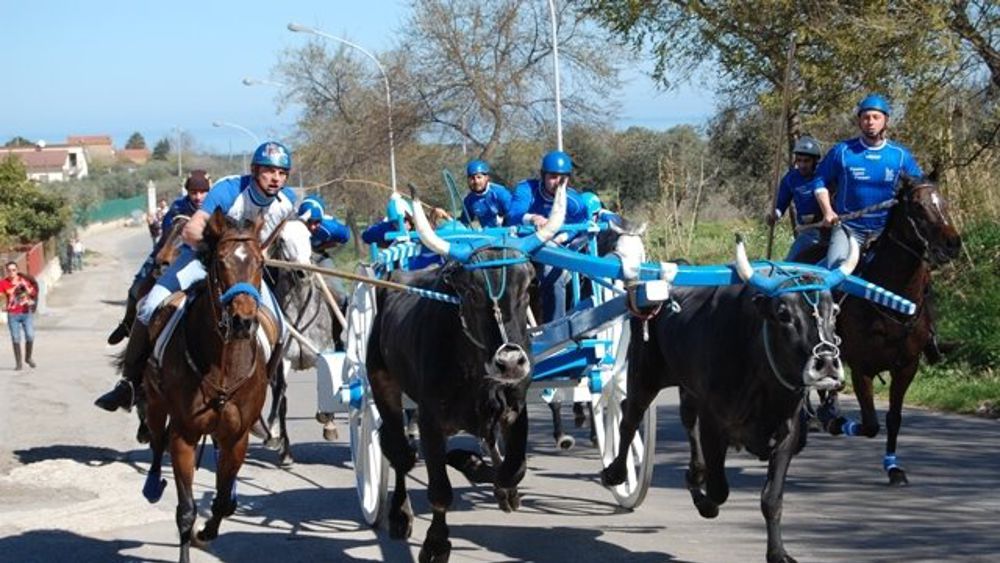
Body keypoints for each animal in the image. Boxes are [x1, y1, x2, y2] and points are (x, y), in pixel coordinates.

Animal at [141, 213, 282, 563]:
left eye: (261, 262)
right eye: (220, 261)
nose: (243, 321)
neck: (223, 363)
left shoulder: (236, 436)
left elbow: (222, 499)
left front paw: (207, 531)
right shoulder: (184, 435)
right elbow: (186, 509)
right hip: (155, 405)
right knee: (156, 440)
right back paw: (151, 484)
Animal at [262, 218, 348, 464]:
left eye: (309, 237)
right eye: (281, 240)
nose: (303, 273)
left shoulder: (325, 352)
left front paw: (328, 422)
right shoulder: (283, 361)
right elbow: (281, 396)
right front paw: (282, 446)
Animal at [804, 175, 960, 484]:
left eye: (944, 202)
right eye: (917, 206)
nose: (953, 243)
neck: (889, 299)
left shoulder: (907, 366)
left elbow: (892, 419)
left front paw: (893, 468)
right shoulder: (862, 368)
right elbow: (870, 424)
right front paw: (836, 423)